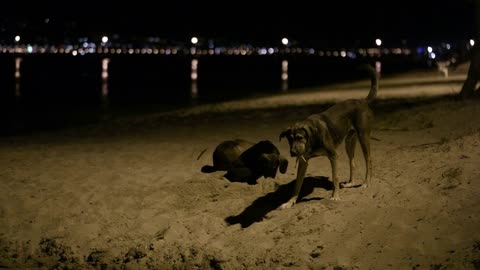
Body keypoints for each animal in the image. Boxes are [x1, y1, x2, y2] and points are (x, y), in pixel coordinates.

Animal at [278, 65, 378, 209]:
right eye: (289, 139)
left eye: (300, 137)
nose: (293, 152)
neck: (312, 139)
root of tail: (362, 101)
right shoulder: (303, 162)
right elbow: (297, 185)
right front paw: (290, 201)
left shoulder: (333, 155)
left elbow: (335, 177)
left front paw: (335, 196)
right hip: (349, 142)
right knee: (352, 163)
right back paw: (351, 183)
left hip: (363, 137)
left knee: (368, 160)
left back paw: (366, 182)